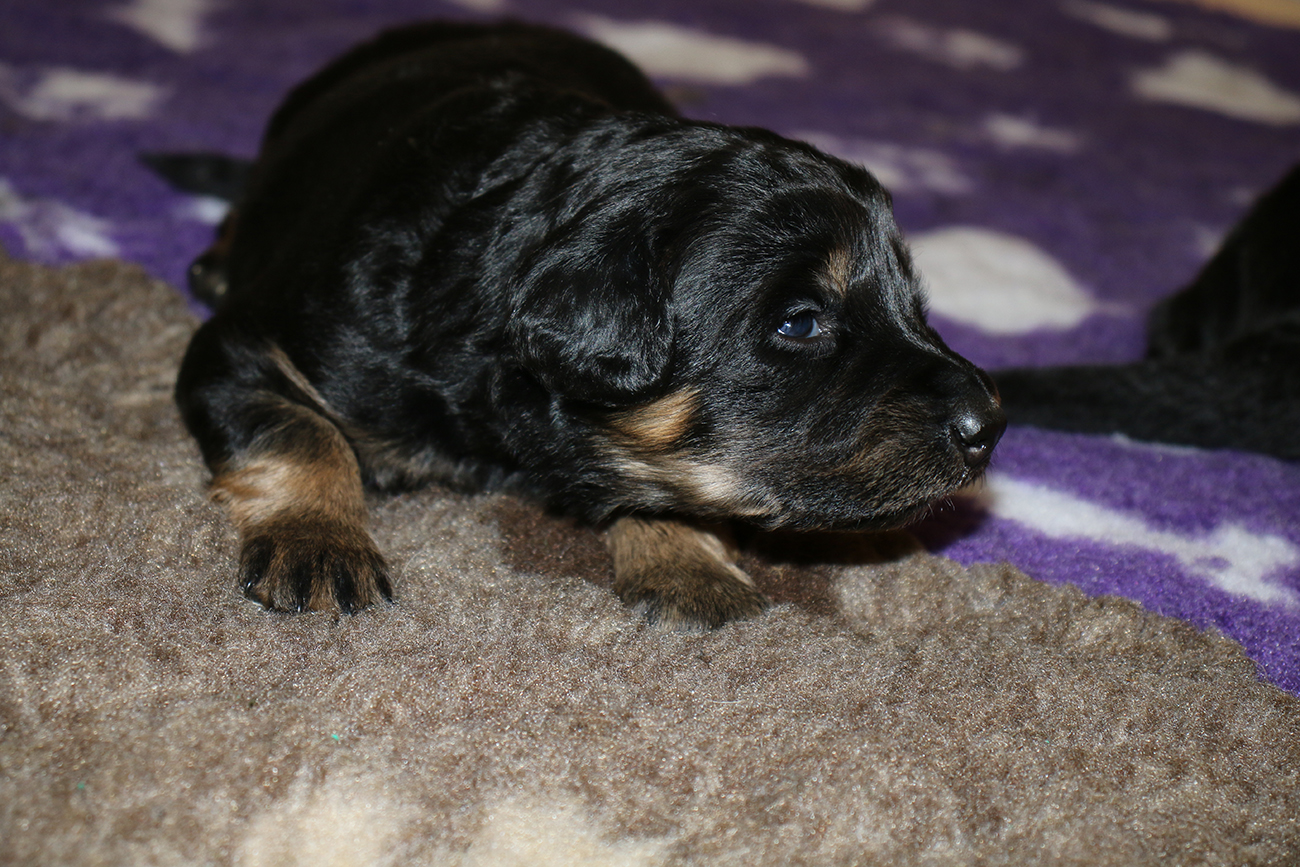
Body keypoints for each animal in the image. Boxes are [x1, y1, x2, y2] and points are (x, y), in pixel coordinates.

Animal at [170, 20, 1005, 629]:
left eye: (914, 304)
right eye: (799, 323)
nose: (991, 424)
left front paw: (685, 564)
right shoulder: (249, 345)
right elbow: (301, 430)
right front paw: (318, 541)